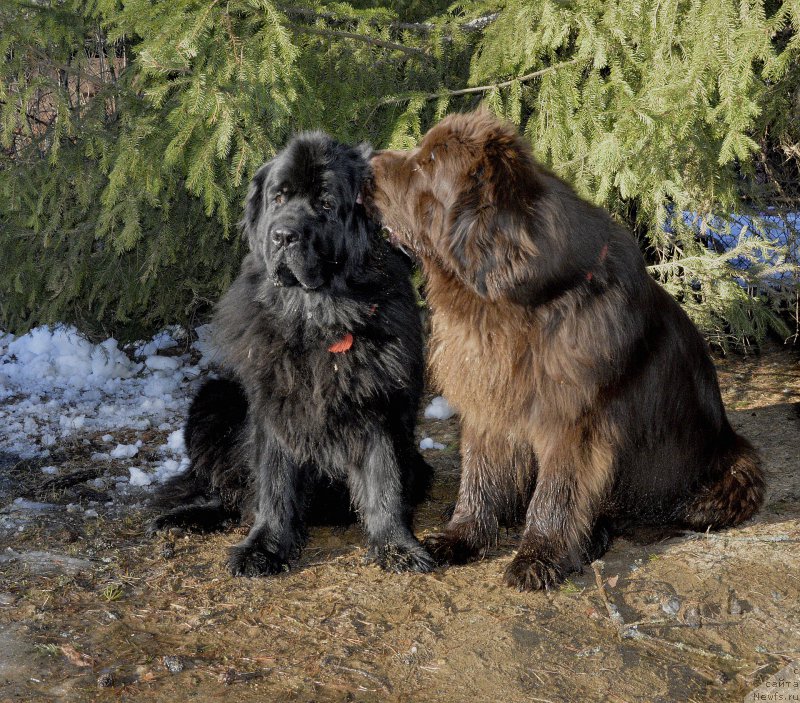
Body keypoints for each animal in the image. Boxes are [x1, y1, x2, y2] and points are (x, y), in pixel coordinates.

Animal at [152, 133, 434, 576]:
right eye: (278, 197)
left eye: (326, 203)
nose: (282, 236)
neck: (317, 318)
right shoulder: (273, 407)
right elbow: (274, 483)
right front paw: (264, 546)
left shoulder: (379, 405)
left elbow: (383, 479)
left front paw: (396, 545)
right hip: (212, 398)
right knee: (227, 491)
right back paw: (190, 516)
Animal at [368, 111, 764, 592]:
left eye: (426, 164)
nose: (366, 163)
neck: (516, 303)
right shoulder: (489, 401)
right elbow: (479, 480)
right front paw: (461, 536)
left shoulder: (573, 423)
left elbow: (555, 495)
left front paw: (538, 556)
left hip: (733, 475)